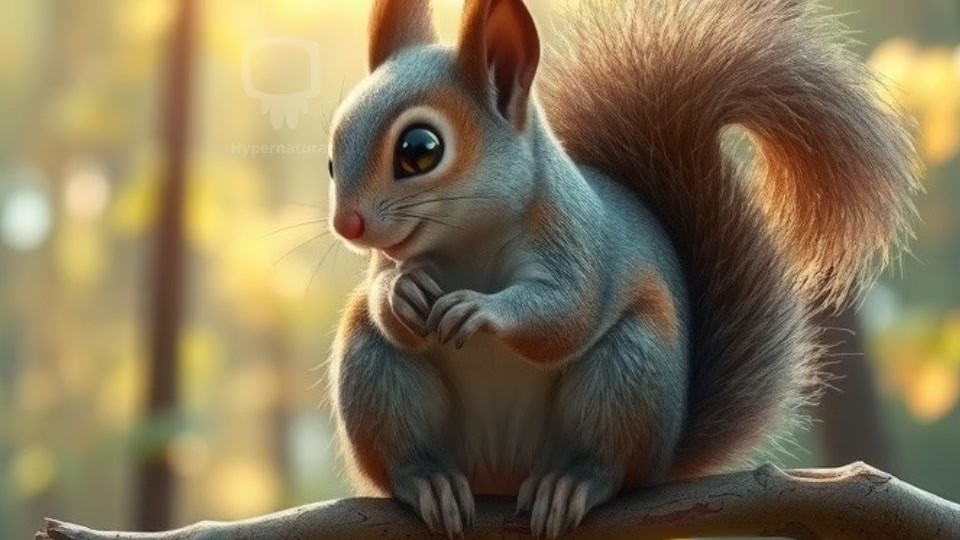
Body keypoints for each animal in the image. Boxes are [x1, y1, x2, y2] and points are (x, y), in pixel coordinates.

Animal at [325, 0, 920, 537]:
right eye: (331, 158)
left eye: (420, 149)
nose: (346, 225)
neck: (468, 240)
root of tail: (502, 475)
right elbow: (387, 295)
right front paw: (400, 292)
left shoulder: (579, 244)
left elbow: (565, 313)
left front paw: (479, 308)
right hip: (375, 372)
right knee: (401, 435)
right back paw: (431, 481)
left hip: (627, 372)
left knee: (609, 464)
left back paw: (570, 484)